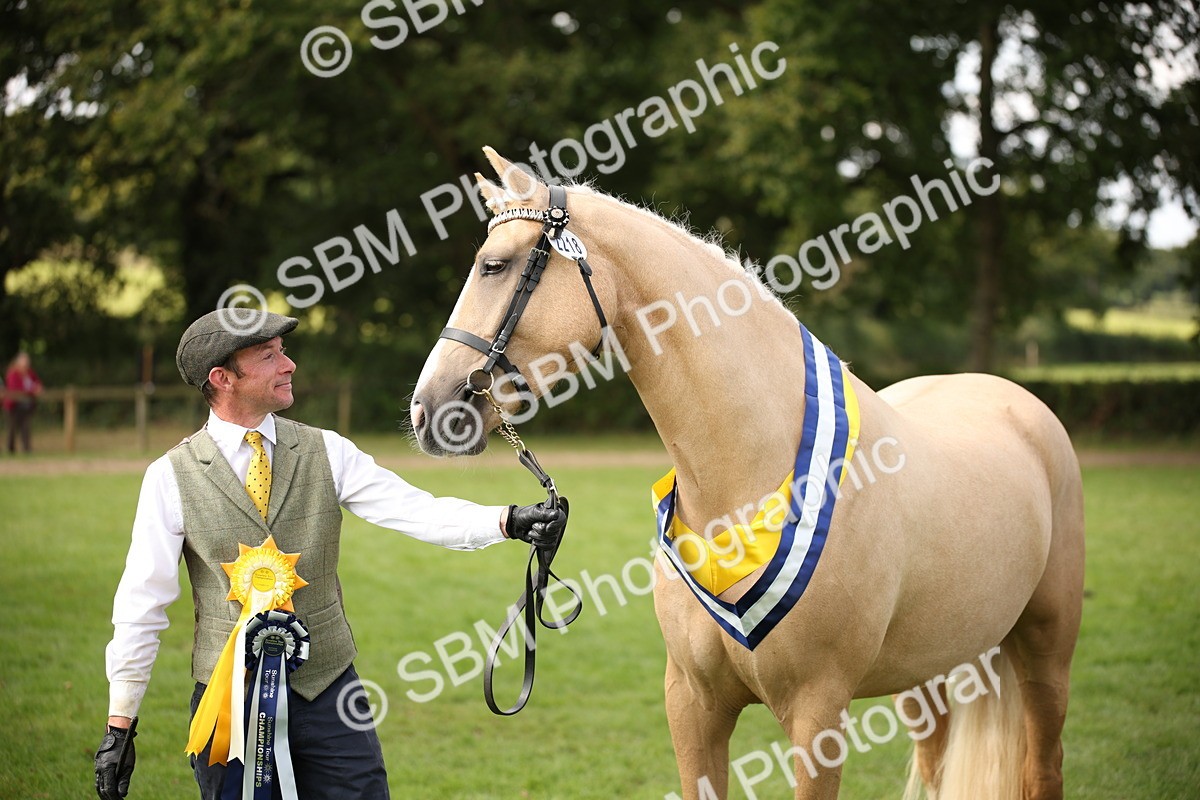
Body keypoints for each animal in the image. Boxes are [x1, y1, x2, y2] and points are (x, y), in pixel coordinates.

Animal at [409, 147, 1085, 800]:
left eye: (493, 265)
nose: (427, 409)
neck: (745, 483)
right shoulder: (692, 704)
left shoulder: (818, 715)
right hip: (930, 673)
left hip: (1045, 652)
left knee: (1044, 769)